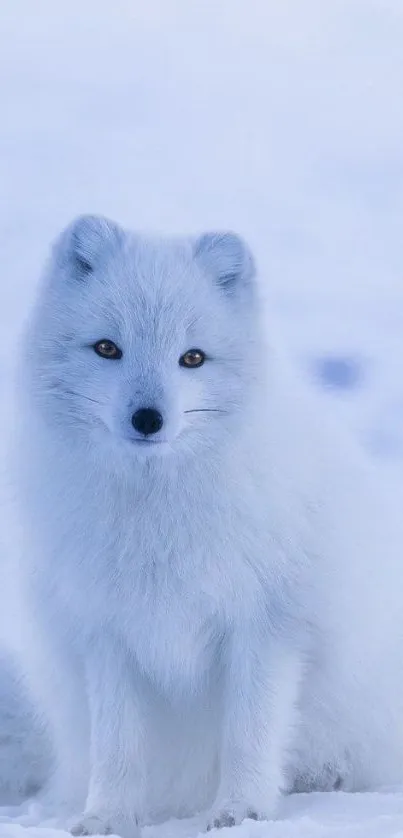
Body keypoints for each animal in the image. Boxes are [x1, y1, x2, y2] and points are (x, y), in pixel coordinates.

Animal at [11, 213, 403, 836]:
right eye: (107, 348)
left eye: (192, 358)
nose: (148, 418)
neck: (157, 516)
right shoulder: (106, 632)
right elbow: (117, 744)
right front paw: (109, 816)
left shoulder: (265, 625)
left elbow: (250, 730)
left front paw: (241, 811)